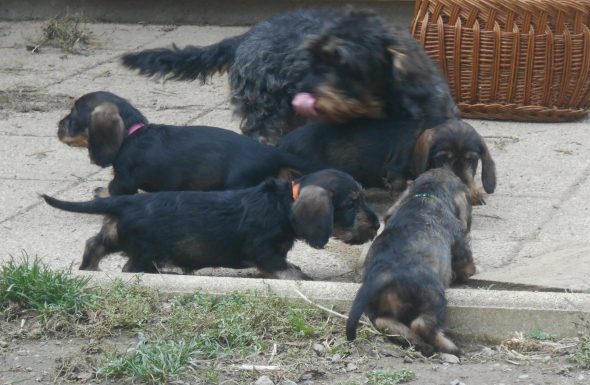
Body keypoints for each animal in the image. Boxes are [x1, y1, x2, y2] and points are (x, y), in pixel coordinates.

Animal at [44, 170, 382, 278]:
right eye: (351, 204)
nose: (377, 225)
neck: (284, 206)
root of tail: (126, 202)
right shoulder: (268, 255)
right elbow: (291, 272)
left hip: (116, 234)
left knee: (94, 243)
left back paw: (89, 270)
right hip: (145, 254)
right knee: (129, 266)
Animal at [57, 91, 322, 196]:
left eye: (73, 114)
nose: (57, 127)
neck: (131, 135)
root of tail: (272, 154)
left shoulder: (124, 180)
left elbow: (112, 189)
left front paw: (100, 192)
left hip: (237, 184)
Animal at [280, 118, 498, 204]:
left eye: (472, 160)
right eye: (442, 158)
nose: (460, 186)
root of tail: (284, 143)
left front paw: (474, 193)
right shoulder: (396, 172)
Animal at [346, 168, 476, 354]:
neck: (426, 196)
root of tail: (381, 276)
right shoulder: (461, 246)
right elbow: (468, 266)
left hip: (377, 310)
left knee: (385, 323)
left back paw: (419, 343)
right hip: (434, 296)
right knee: (421, 325)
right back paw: (449, 347)